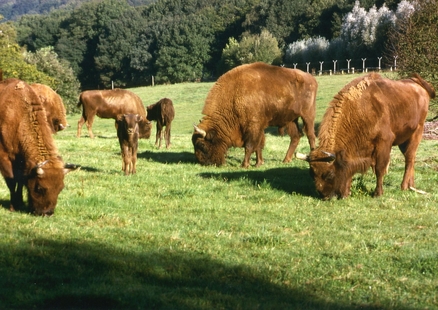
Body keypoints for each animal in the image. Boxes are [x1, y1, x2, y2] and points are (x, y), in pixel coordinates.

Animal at [0, 78, 78, 216]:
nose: (47, 213)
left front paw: (20, 202)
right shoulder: (4, 158)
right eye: (39, 188)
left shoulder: (23, 162)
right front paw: (13, 206)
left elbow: (21, 181)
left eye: (61, 188)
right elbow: (12, 181)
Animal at [296, 72, 436, 199]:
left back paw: (404, 186)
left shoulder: (384, 142)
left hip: (417, 132)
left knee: (409, 158)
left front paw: (377, 193)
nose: (324, 195)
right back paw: (411, 185)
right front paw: (346, 193)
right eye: (312, 174)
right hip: (403, 139)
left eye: (329, 174)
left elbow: (379, 168)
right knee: (410, 158)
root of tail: (418, 84)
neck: (360, 109)